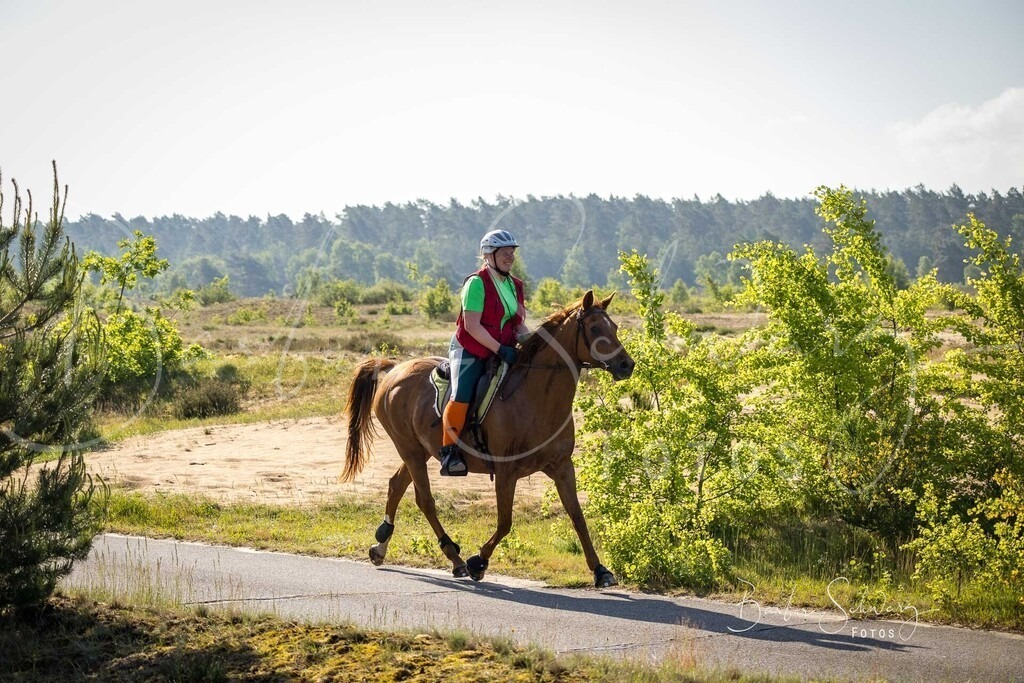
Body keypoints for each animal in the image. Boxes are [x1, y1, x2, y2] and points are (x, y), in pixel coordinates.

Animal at [341, 290, 635, 587]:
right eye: (595, 328)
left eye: (614, 327)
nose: (627, 365)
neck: (536, 397)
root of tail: (394, 370)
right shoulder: (507, 471)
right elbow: (505, 522)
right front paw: (478, 561)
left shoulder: (562, 467)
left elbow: (578, 517)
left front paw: (600, 570)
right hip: (410, 449)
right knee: (425, 501)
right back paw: (455, 557)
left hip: (420, 451)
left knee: (396, 486)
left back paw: (381, 546)